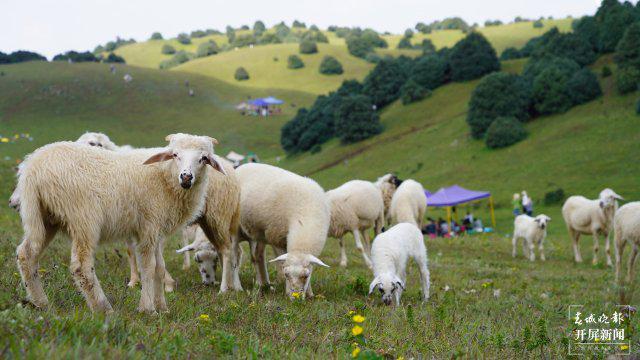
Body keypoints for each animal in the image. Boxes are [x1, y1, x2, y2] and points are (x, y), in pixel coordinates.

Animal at [15, 134, 226, 314]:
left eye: (204, 158)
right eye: (175, 155)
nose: (186, 177)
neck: (165, 176)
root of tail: (34, 167)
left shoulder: (157, 229)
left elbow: (159, 268)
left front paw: (162, 308)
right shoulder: (148, 225)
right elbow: (148, 267)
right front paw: (148, 309)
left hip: (43, 217)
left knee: (26, 254)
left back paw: (41, 303)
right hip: (84, 218)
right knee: (81, 266)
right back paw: (103, 308)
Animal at [234, 163, 330, 298]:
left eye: (306, 276)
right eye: (286, 275)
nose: (295, 297)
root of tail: (242, 166)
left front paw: (310, 293)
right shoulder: (276, 237)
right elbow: (281, 262)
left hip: (261, 233)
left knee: (258, 255)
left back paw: (264, 284)